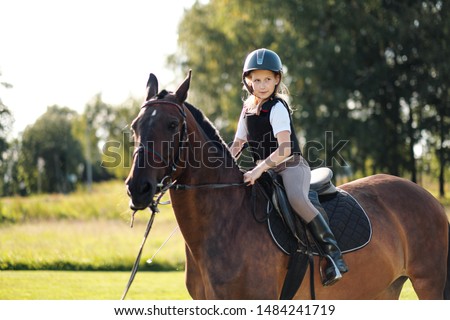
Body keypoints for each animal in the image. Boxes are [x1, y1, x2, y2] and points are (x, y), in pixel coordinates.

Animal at [125, 71, 450, 298]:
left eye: (172, 126)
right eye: (135, 126)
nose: (137, 188)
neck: (225, 221)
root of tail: (427, 196)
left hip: (430, 283)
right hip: (384, 289)